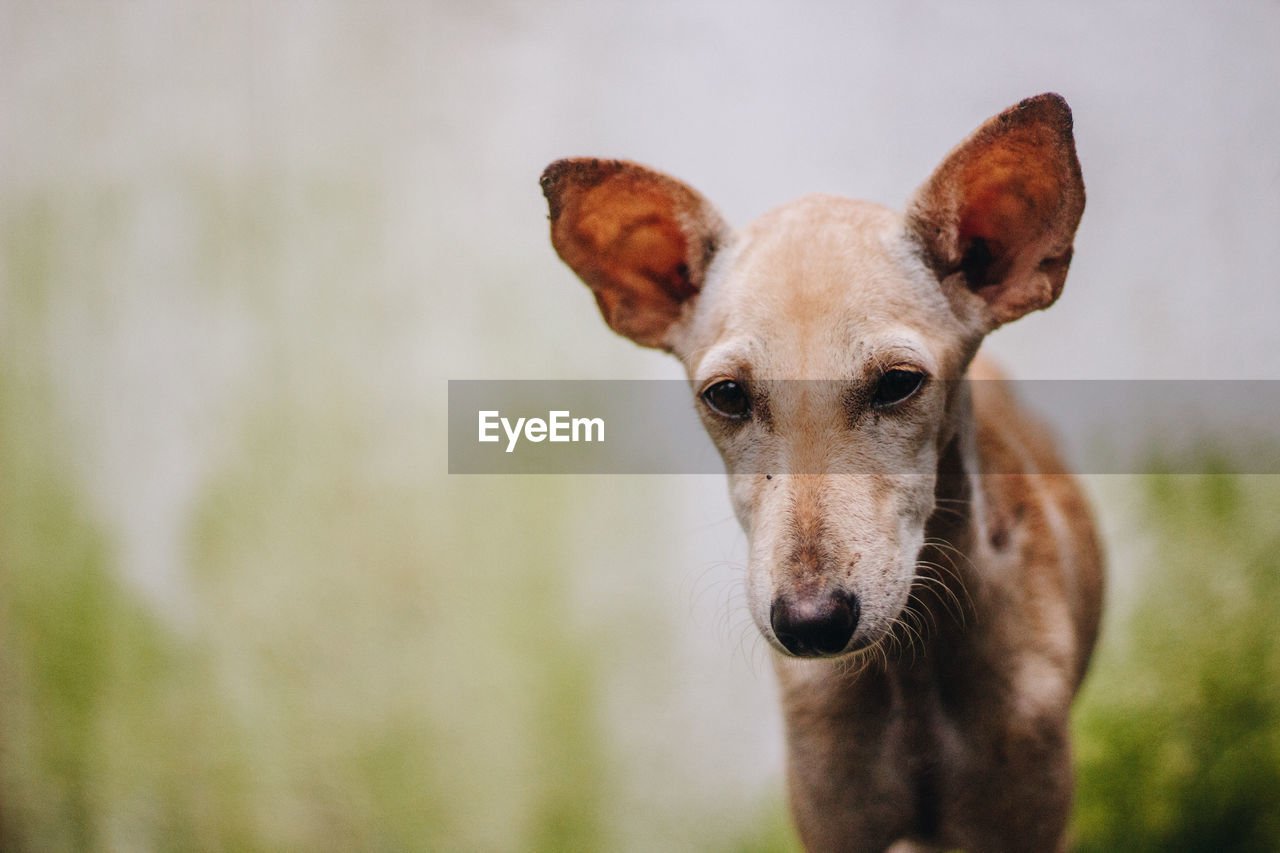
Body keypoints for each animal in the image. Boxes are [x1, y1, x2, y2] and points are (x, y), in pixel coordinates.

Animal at [537, 94, 1100, 850]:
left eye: (899, 383)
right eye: (726, 395)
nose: (810, 623)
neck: (910, 674)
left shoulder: (1022, 814)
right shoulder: (834, 817)